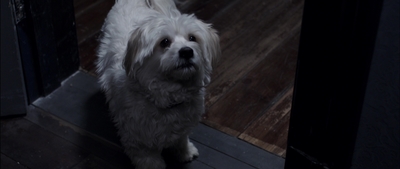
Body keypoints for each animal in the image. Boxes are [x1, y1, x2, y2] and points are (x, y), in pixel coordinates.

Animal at [95, 0, 220, 168]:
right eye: (164, 42)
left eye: (192, 38)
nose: (186, 51)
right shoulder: (138, 141)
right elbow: (149, 160)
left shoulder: (182, 127)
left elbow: (181, 140)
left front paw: (185, 152)